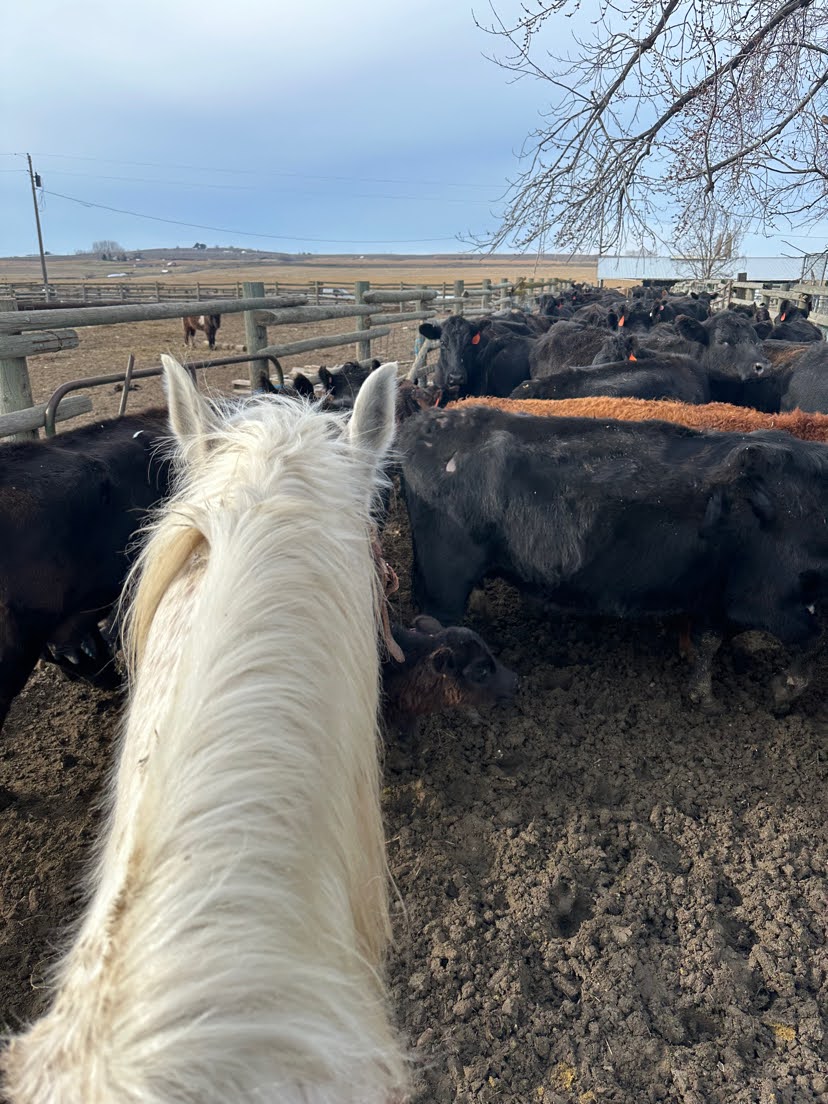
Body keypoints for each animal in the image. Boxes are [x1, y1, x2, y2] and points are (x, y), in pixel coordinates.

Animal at [398, 404, 828, 711]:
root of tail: (426, 423)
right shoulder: (771, 599)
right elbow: (812, 644)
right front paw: (780, 692)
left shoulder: (718, 595)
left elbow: (709, 640)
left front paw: (702, 694)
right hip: (445, 582)